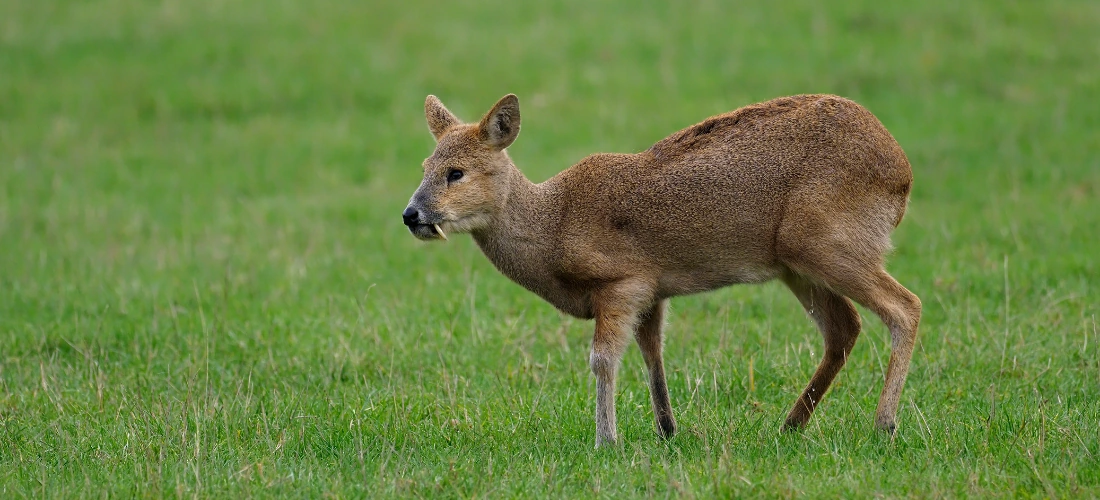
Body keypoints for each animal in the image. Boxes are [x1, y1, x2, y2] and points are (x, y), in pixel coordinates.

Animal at [402, 93, 921, 447]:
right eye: (425, 165)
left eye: (456, 172)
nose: (412, 215)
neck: (553, 227)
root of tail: (902, 172)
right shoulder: (653, 291)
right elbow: (653, 355)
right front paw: (668, 429)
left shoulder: (622, 282)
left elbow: (603, 359)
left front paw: (606, 440)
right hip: (798, 263)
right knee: (844, 328)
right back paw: (791, 424)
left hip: (827, 243)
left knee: (905, 307)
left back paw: (884, 425)